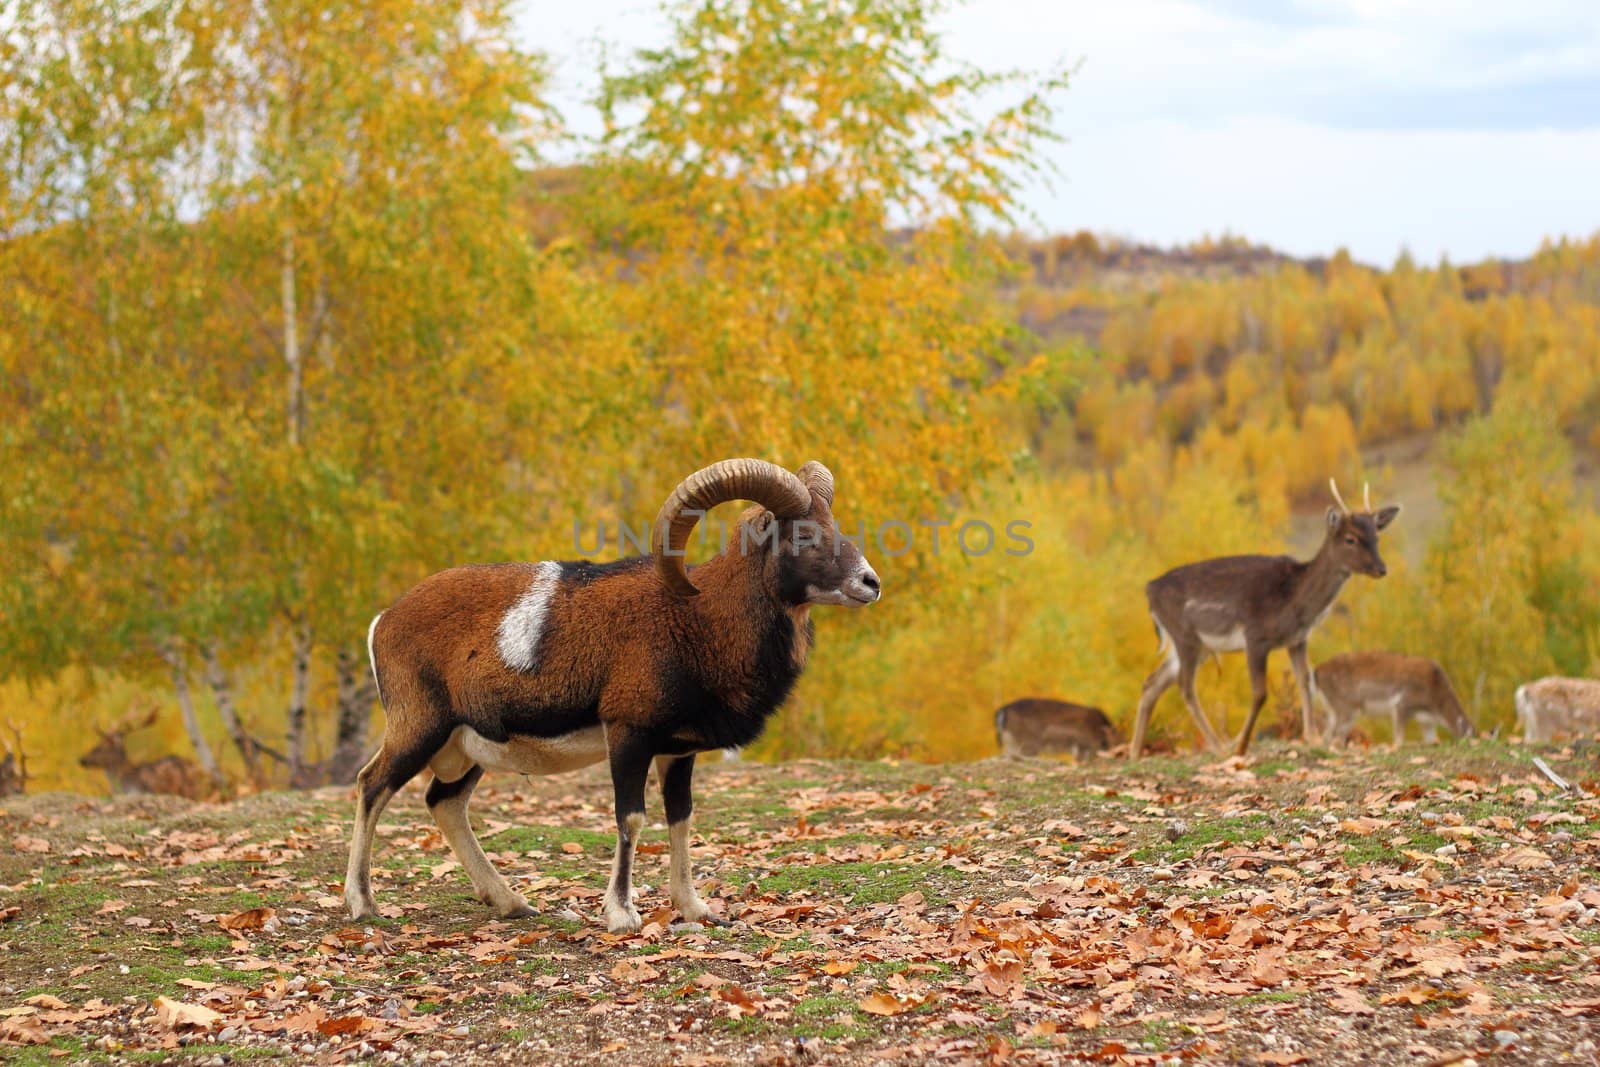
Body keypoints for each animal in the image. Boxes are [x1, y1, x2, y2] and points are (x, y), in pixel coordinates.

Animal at [992, 700, 1120, 758]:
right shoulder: (1085, 744)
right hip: (1028, 743)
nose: (1120, 753)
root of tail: (1002, 711)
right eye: (1118, 741)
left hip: (1011, 743)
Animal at [1126, 479, 1401, 764]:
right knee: (1185, 686)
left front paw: (1313, 738)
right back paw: (1218, 747)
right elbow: (1260, 693)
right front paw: (1240, 747)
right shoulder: (1255, 635)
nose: (1381, 569)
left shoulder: (1297, 639)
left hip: (1196, 646)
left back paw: (1134, 752)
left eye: (1377, 536)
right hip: (1185, 635)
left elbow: (1305, 680)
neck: (1295, 601)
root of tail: (1149, 590)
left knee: (1152, 683)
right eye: (1350, 538)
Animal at [1312, 646, 1472, 748]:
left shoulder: (1426, 721)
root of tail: (1316, 672)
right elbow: (1399, 738)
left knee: (1328, 734)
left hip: (1334, 708)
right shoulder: (1402, 703)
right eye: (1469, 736)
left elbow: (1431, 739)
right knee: (1337, 734)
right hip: (1347, 707)